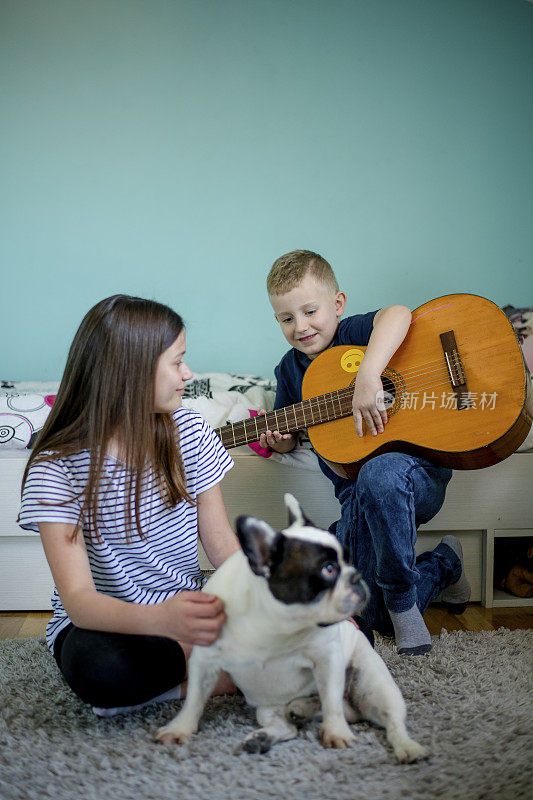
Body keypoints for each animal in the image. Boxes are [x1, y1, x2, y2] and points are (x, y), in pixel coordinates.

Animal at [156, 494, 426, 764]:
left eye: (348, 561)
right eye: (329, 569)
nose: (357, 576)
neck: (275, 622)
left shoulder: (327, 660)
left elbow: (331, 702)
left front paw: (336, 732)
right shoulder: (205, 660)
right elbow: (194, 699)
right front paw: (179, 728)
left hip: (372, 686)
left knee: (389, 720)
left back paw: (407, 747)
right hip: (269, 706)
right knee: (288, 726)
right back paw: (271, 731)